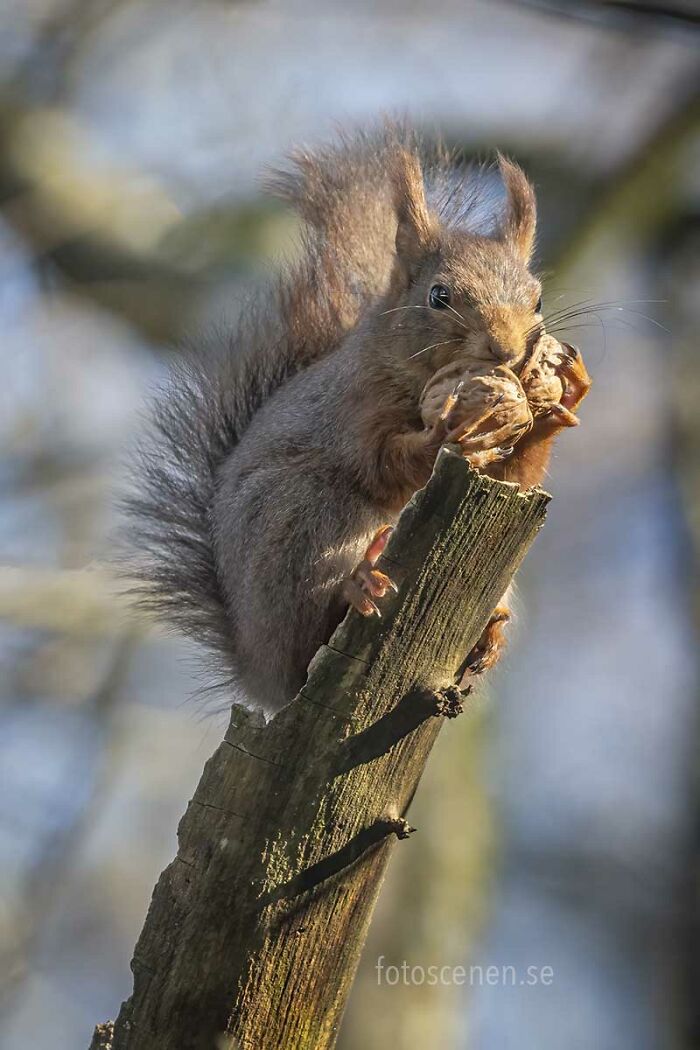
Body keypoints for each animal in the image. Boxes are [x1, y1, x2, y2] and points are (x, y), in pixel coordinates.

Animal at [127, 124, 590, 712]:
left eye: (538, 300)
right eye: (439, 296)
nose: (506, 350)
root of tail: (261, 674)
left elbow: (515, 476)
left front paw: (557, 404)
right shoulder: (355, 406)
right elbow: (380, 465)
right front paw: (440, 434)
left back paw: (489, 634)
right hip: (298, 519)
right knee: (308, 632)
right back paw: (356, 587)